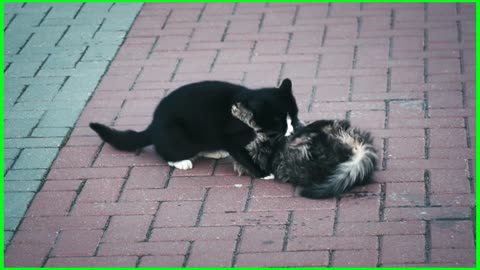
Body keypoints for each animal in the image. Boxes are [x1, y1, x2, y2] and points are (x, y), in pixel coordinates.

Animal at [90, 78, 300, 177]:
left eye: (294, 117)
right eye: (279, 122)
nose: (292, 131)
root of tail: (154, 124)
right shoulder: (231, 138)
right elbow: (244, 155)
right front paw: (263, 173)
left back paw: (213, 151)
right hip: (177, 135)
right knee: (165, 151)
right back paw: (181, 161)